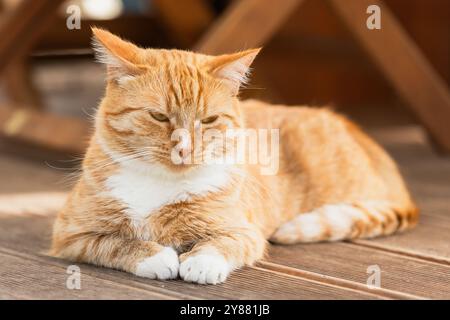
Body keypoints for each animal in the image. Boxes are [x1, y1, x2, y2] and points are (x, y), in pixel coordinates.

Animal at [50, 28, 418, 284]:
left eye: (209, 119)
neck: (159, 184)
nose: (185, 147)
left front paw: (202, 262)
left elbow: (222, 243)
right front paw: (155, 257)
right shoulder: (71, 234)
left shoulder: (244, 231)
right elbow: (116, 243)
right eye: (159, 117)